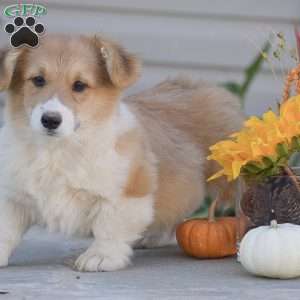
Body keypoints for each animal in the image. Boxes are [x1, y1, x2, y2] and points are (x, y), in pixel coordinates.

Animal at [0, 35, 243, 272]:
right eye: (38, 80)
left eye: (79, 85)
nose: (50, 120)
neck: (58, 149)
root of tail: (204, 86)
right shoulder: (14, 196)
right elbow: (6, 229)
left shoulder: (127, 193)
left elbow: (110, 227)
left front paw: (100, 257)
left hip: (231, 178)